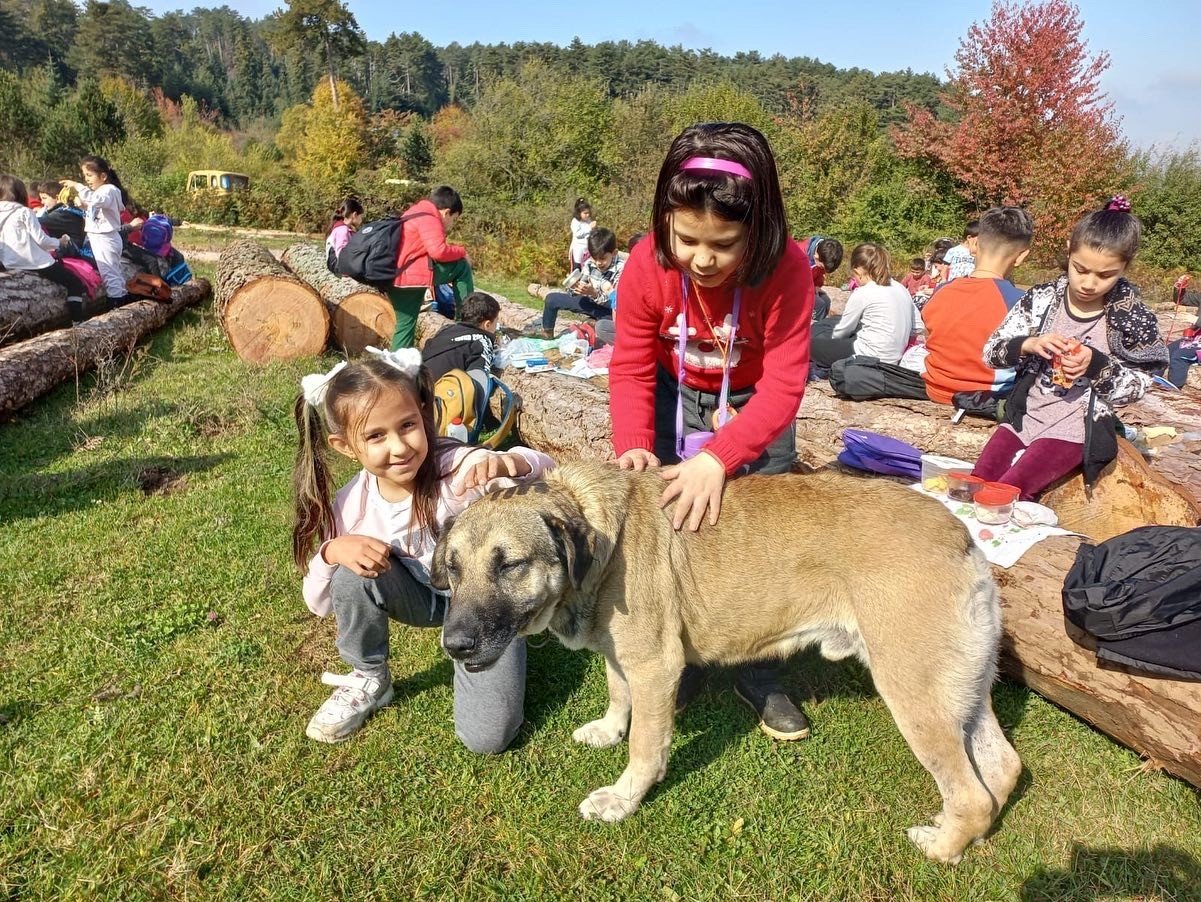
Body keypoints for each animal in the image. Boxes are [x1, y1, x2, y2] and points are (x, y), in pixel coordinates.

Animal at [434, 461, 1023, 864]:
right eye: (453, 568)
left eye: (509, 564)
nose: (454, 645)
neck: (602, 539)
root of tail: (962, 537)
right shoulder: (626, 660)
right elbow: (617, 694)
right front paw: (608, 730)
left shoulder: (656, 666)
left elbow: (646, 747)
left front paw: (623, 799)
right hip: (960, 692)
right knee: (1002, 769)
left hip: (914, 693)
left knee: (972, 792)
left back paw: (941, 846)